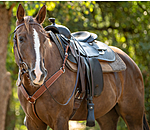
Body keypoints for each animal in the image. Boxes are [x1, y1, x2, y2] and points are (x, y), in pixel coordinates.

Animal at [13, 3, 149, 129]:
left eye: (44, 39)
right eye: (21, 39)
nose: (38, 74)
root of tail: (131, 63)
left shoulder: (60, 120)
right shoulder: (33, 122)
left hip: (133, 117)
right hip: (107, 116)